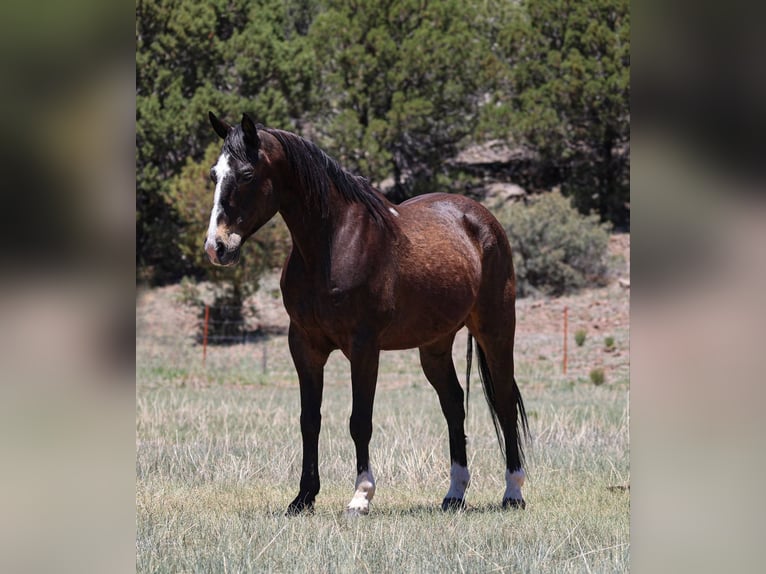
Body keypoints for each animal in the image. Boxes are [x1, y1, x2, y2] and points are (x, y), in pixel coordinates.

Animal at [203, 112, 529, 515]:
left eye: (247, 174)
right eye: (214, 175)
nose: (216, 247)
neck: (332, 244)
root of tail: (482, 219)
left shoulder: (363, 347)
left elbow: (360, 420)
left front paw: (361, 495)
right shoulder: (305, 346)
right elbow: (309, 420)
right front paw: (304, 497)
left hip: (496, 330)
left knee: (504, 403)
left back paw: (513, 492)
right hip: (435, 346)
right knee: (454, 405)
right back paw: (454, 493)